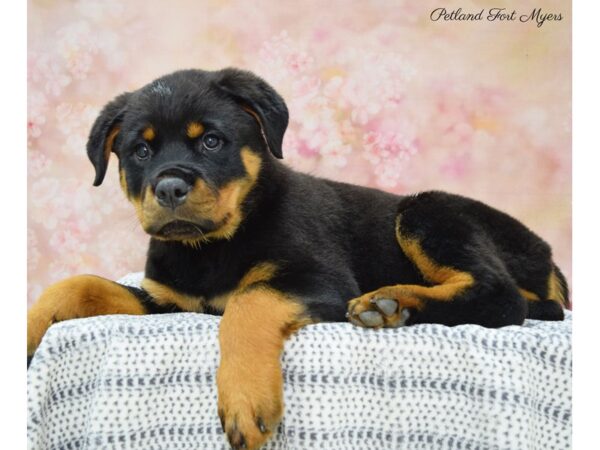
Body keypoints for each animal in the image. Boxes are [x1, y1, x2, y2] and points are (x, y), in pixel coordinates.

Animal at [28, 67, 568, 450]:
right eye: (140, 151)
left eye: (211, 141)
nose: (170, 187)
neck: (211, 246)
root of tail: (548, 254)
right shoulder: (168, 302)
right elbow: (79, 284)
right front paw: (31, 330)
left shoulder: (319, 278)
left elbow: (247, 301)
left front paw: (245, 400)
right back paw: (393, 307)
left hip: (427, 209)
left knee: (502, 297)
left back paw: (391, 302)